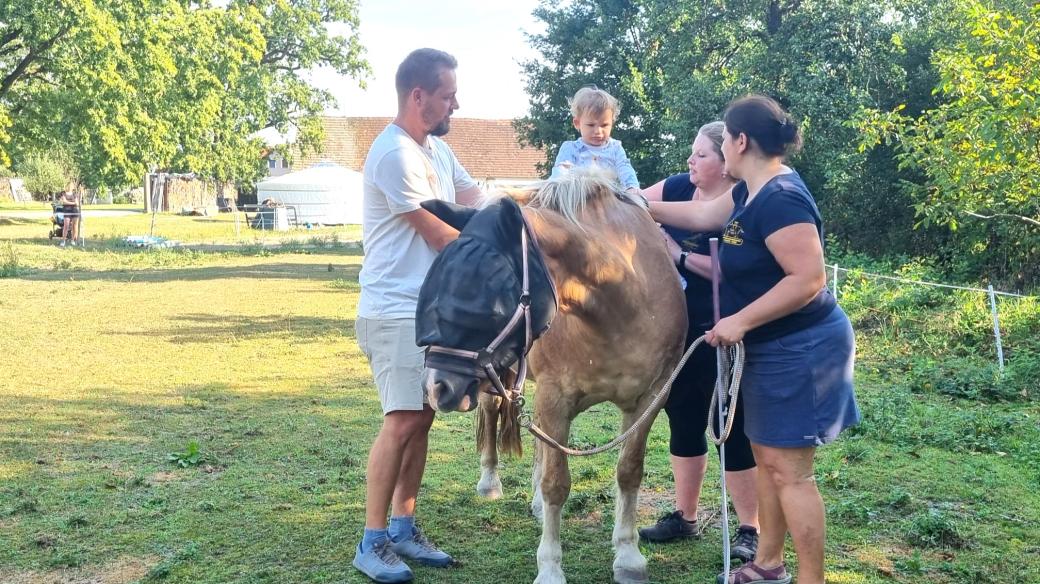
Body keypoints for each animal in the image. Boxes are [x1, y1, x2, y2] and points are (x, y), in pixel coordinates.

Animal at [413, 168, 690, 581]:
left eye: (489, 295)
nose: (435, 387)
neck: (621, 308)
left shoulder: (651, 398)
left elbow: (628, 471)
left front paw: (628, 556)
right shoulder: (555, 397)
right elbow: (557, 483)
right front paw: (550, 568)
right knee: (494, 416)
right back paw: (490, 482)